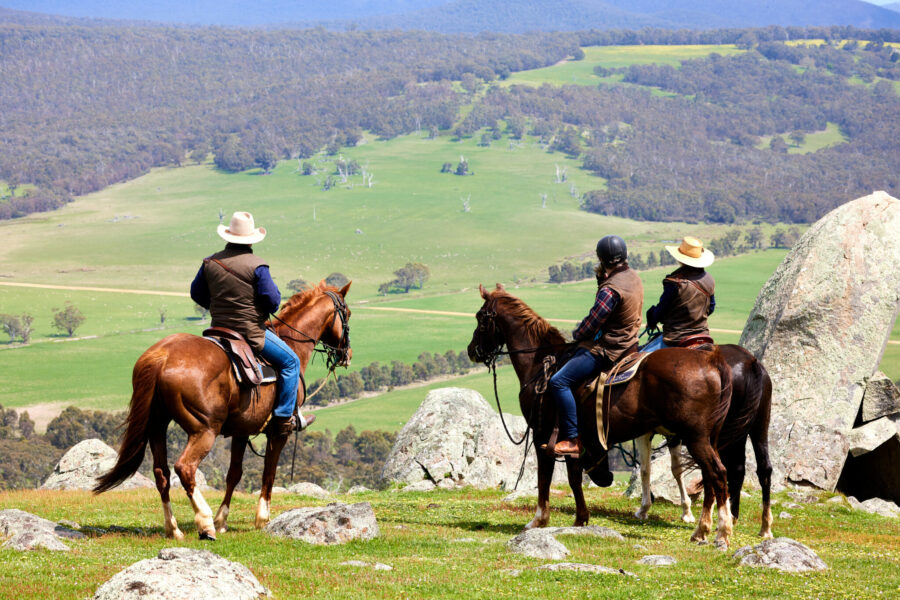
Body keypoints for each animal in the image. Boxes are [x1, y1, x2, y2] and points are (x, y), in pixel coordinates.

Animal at [94, 280, 352, 541]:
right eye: (347, 314)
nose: (347, 355)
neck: (293, 343)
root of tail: (162, 356)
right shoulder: (279, 432)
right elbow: (268, 472)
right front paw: (261, 518)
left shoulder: (241, 431)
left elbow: (233, 474)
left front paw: (222, 520)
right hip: (204, 430)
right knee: (185, 468)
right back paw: (204, 522)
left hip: (157, 426)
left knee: (162, 473)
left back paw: (174, 528)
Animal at [467, 284, 736, 548]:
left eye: (481, 317)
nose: (472, 351)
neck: (541, 366)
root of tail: (710, 361)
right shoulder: (573, 440)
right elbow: (574, 478)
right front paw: (580, 519)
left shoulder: (541, 435)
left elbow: (544, 479)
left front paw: (538, 520)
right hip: (707, 439)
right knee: (710, 479)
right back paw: (702, 531)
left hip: (695, 438)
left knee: (718, 474)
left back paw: (719, 533)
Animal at [632, 343, 773, 538]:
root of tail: (750, 363)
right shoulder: (674, 436)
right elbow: (676, 469)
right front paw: (686, 512)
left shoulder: (646, 433)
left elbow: (646, 469)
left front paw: (643, 509)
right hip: (757, 426)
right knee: (761, 469)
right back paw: (762, 526)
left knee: (720, 471)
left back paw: (718, 521)